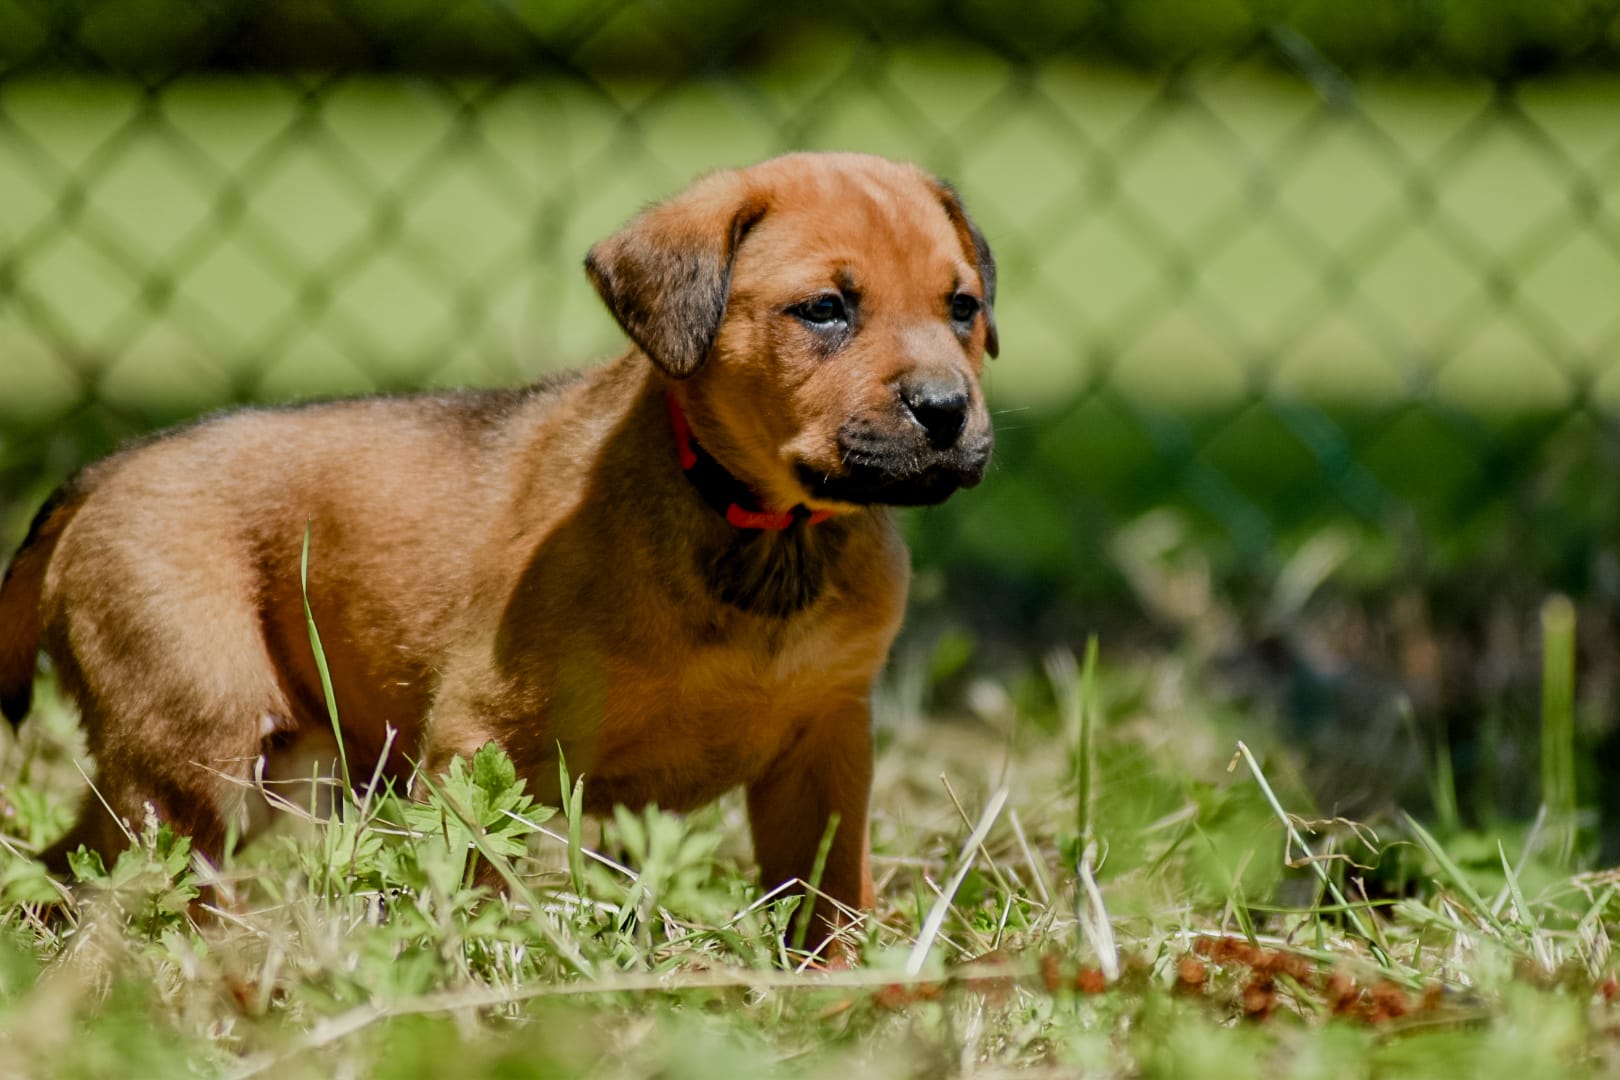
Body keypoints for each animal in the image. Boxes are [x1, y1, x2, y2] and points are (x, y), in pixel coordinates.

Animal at [0, 149, 991, 939]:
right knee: (154, 877)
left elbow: (829, 893)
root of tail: (106, 471)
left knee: (73, 865)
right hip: (199, 749)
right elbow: (472, 880)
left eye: (963, 307)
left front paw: (847, 981)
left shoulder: (827, 744)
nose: (948, 412)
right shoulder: (480, 740)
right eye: (824, 309)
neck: (764, 528)